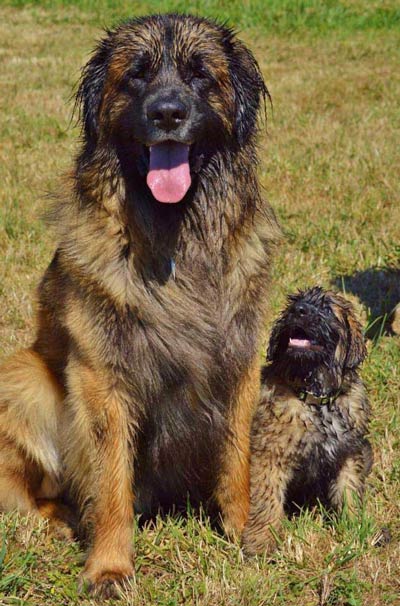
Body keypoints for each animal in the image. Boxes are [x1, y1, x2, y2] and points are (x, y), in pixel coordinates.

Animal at [0, 13, 278, 600]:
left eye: (199, 75)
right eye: (137, 75)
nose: (167, 113)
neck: (175, 236)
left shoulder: (239, 360)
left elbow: (237, 458)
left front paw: (248, 532)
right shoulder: (102, 376)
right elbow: (111, 483)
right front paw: (109, 568)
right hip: (24, 377)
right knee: (24, 493)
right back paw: (58, 522)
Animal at [242, 288, 374, 560]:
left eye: (326, 308)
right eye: (294, 303)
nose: (299, 311)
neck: (316, 399)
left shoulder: (350, 452)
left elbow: (349, 489)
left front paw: (355, 526)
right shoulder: (270, 454)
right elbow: (266, 498)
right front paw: (261, 543)